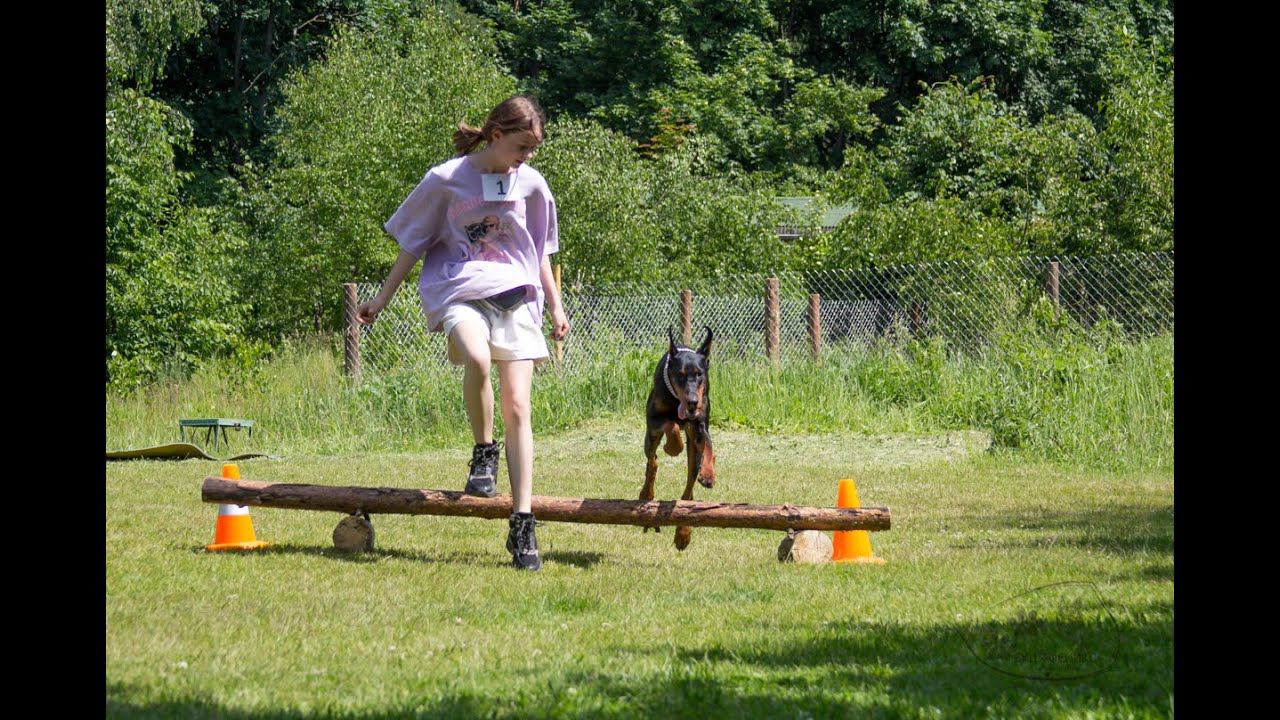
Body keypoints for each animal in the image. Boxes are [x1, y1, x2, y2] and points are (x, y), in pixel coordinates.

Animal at [640, 325, 721, 548]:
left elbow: (708, 445)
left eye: (700, 374)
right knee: (652, 463)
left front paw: (708, 474)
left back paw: (683, 532)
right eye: (680, 374)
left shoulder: (700, 423)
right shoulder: (654, 418)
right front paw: (673, 447)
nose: (693, 401)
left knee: (689, 486)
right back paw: (646, 495)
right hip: (650, 439)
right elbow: (671, 424)